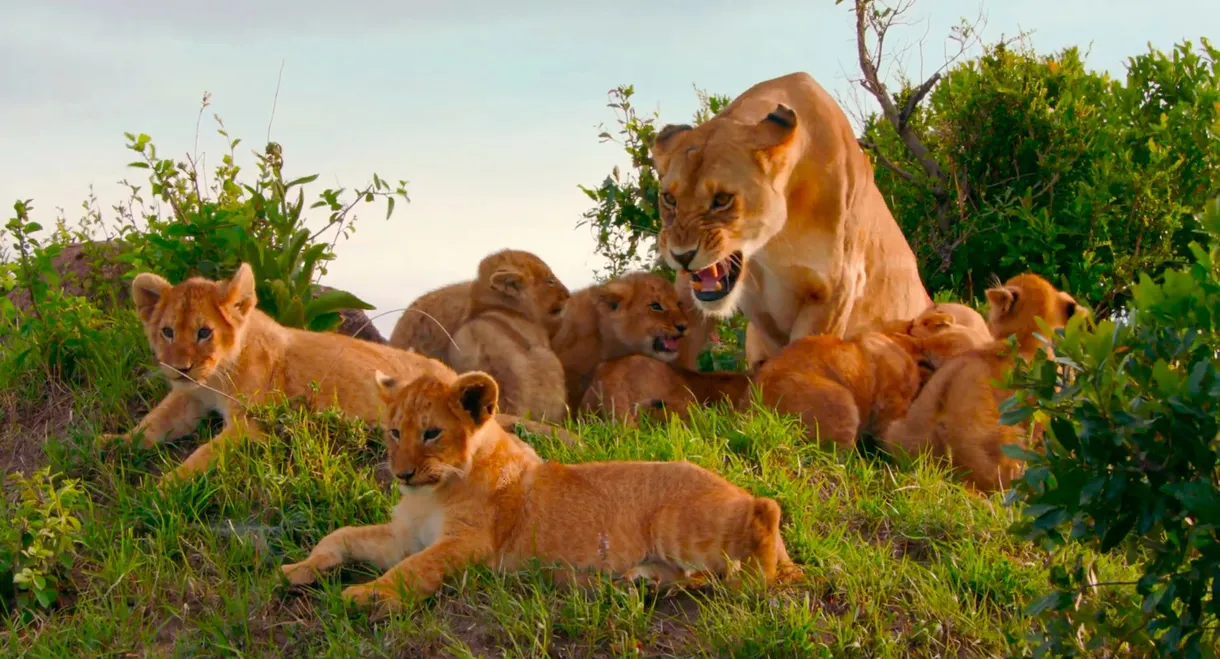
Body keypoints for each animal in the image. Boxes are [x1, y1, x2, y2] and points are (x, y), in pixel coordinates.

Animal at [281, 368, 799, 611]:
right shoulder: (402, 537)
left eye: (431, 433)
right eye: (393, 432)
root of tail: (728, 486)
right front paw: (299, 568)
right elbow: (342, 535)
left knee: (767, 513)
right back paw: (645, 582)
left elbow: (414, 569)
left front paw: (369, 595)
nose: (403, 473)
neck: (432, 493)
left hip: (681, 522)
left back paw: (748, 580)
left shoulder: (470, 543)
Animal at [651, 71, 931, 370]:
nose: (682, 256)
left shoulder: (833, 292)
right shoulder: (688, 292)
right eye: (669, 199)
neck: (769, 243)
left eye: (722, 199)